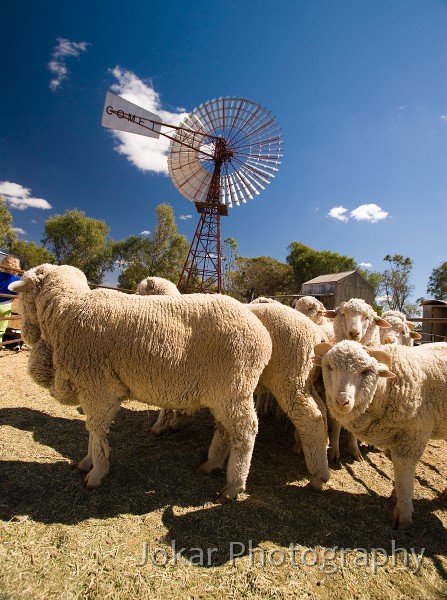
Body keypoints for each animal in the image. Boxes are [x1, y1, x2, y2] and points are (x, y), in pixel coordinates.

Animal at [8, 264, 272, 502]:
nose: (22, 328)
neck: (64, 311)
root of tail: (262, 333)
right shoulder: (93, 390)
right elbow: (93, 430)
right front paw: (87, 462)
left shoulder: (98, 388)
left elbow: (96, 430)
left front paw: (96, 472)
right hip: (222, 394)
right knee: (226, 430)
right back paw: (212, 464)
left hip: (234, 390)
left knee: (246, 432)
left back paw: (234, 486)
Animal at [314, 340, 447, 532]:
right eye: (329, 367)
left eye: (365, 371)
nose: (342, 401)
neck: (387, 388)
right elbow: (400, 471)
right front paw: (397, 494)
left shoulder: (415, 434)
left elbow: (404, 470)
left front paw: (403, 515)